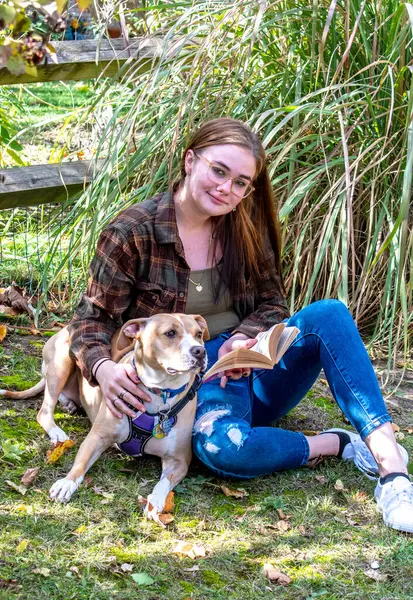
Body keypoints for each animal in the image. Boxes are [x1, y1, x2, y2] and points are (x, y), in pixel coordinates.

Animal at [0, 314, 206, 524]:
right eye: (170, 333)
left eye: (198, 334)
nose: (200, 351)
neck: (160, 392)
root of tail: (64, 328)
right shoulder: (96, 438)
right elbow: (80, 464)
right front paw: (66, 483)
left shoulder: (179, 460)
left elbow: (163, 483)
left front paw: (155, 501)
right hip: (61, 362)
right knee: (44, 410)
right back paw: (57, 432)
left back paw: (69, 403)